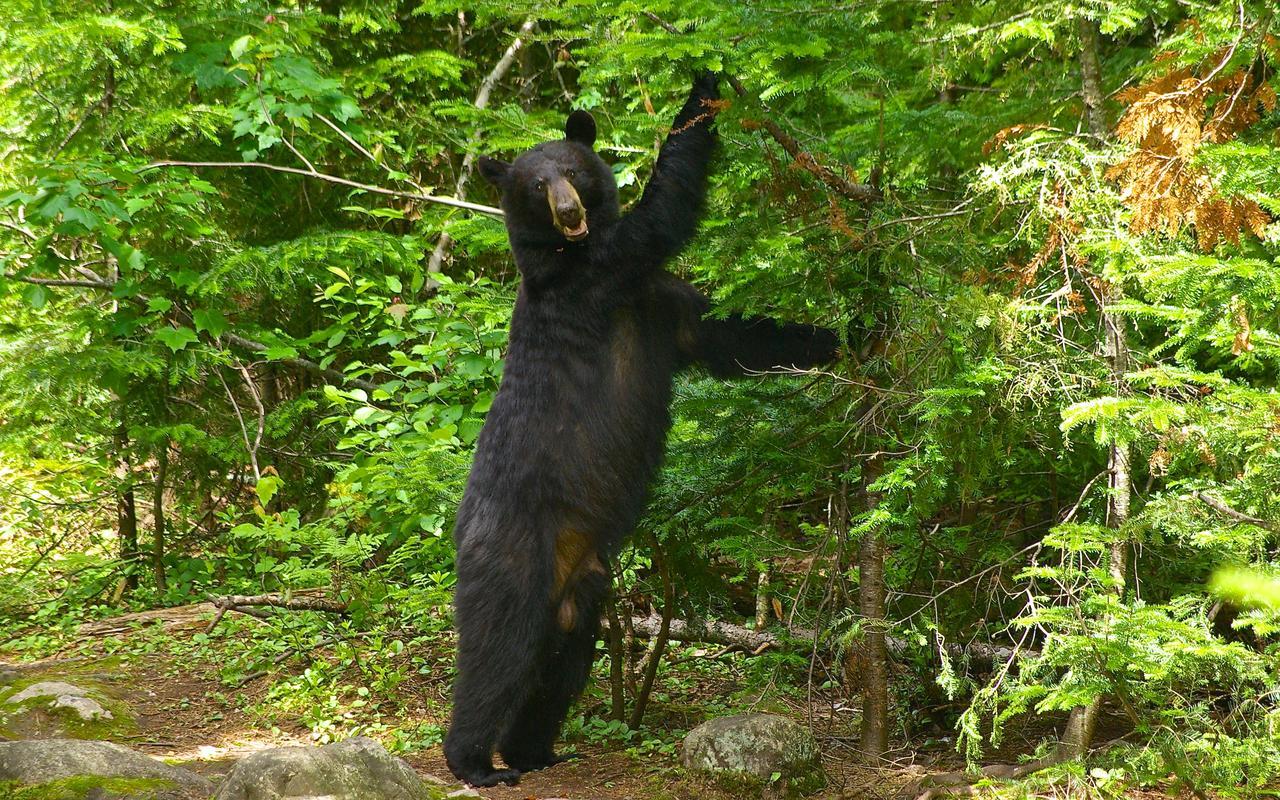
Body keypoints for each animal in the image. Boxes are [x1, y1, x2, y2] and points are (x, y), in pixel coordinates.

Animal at [445, 74, 844, 788]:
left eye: (574, 169)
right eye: (535, 185)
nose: (568, 208)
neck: (568, 253)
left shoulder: (661, 305)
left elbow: (735, 336)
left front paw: (848, 332)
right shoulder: (603, 277)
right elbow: (662, 215)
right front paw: (702, 92)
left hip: (583, 583)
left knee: (563, 658)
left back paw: (536, 748)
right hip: (513, 548)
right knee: (499, 647)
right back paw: (476, 761)